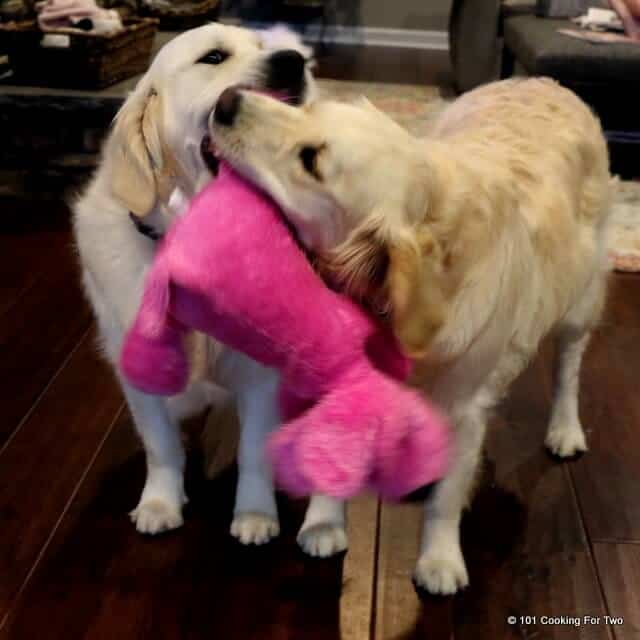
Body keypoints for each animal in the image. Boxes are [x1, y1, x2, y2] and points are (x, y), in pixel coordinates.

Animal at [72, 21, 342, 552]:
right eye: (213, 57)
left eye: (266, 48)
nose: (293, 62)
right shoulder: (138, 373)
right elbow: (161, 446)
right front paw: (160, 502)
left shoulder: (263, 376)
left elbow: (255, 452)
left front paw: (255, 515)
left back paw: (325, 524)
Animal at [208, 77, 612, 592]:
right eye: (307, 108)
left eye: (311, 160)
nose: (226, 100)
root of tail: (546, 81)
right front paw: (324, 521)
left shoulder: (464, 407)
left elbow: (445, 501)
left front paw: (439, 560)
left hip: (581, 299)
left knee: (568, 367)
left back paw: (565, 428)